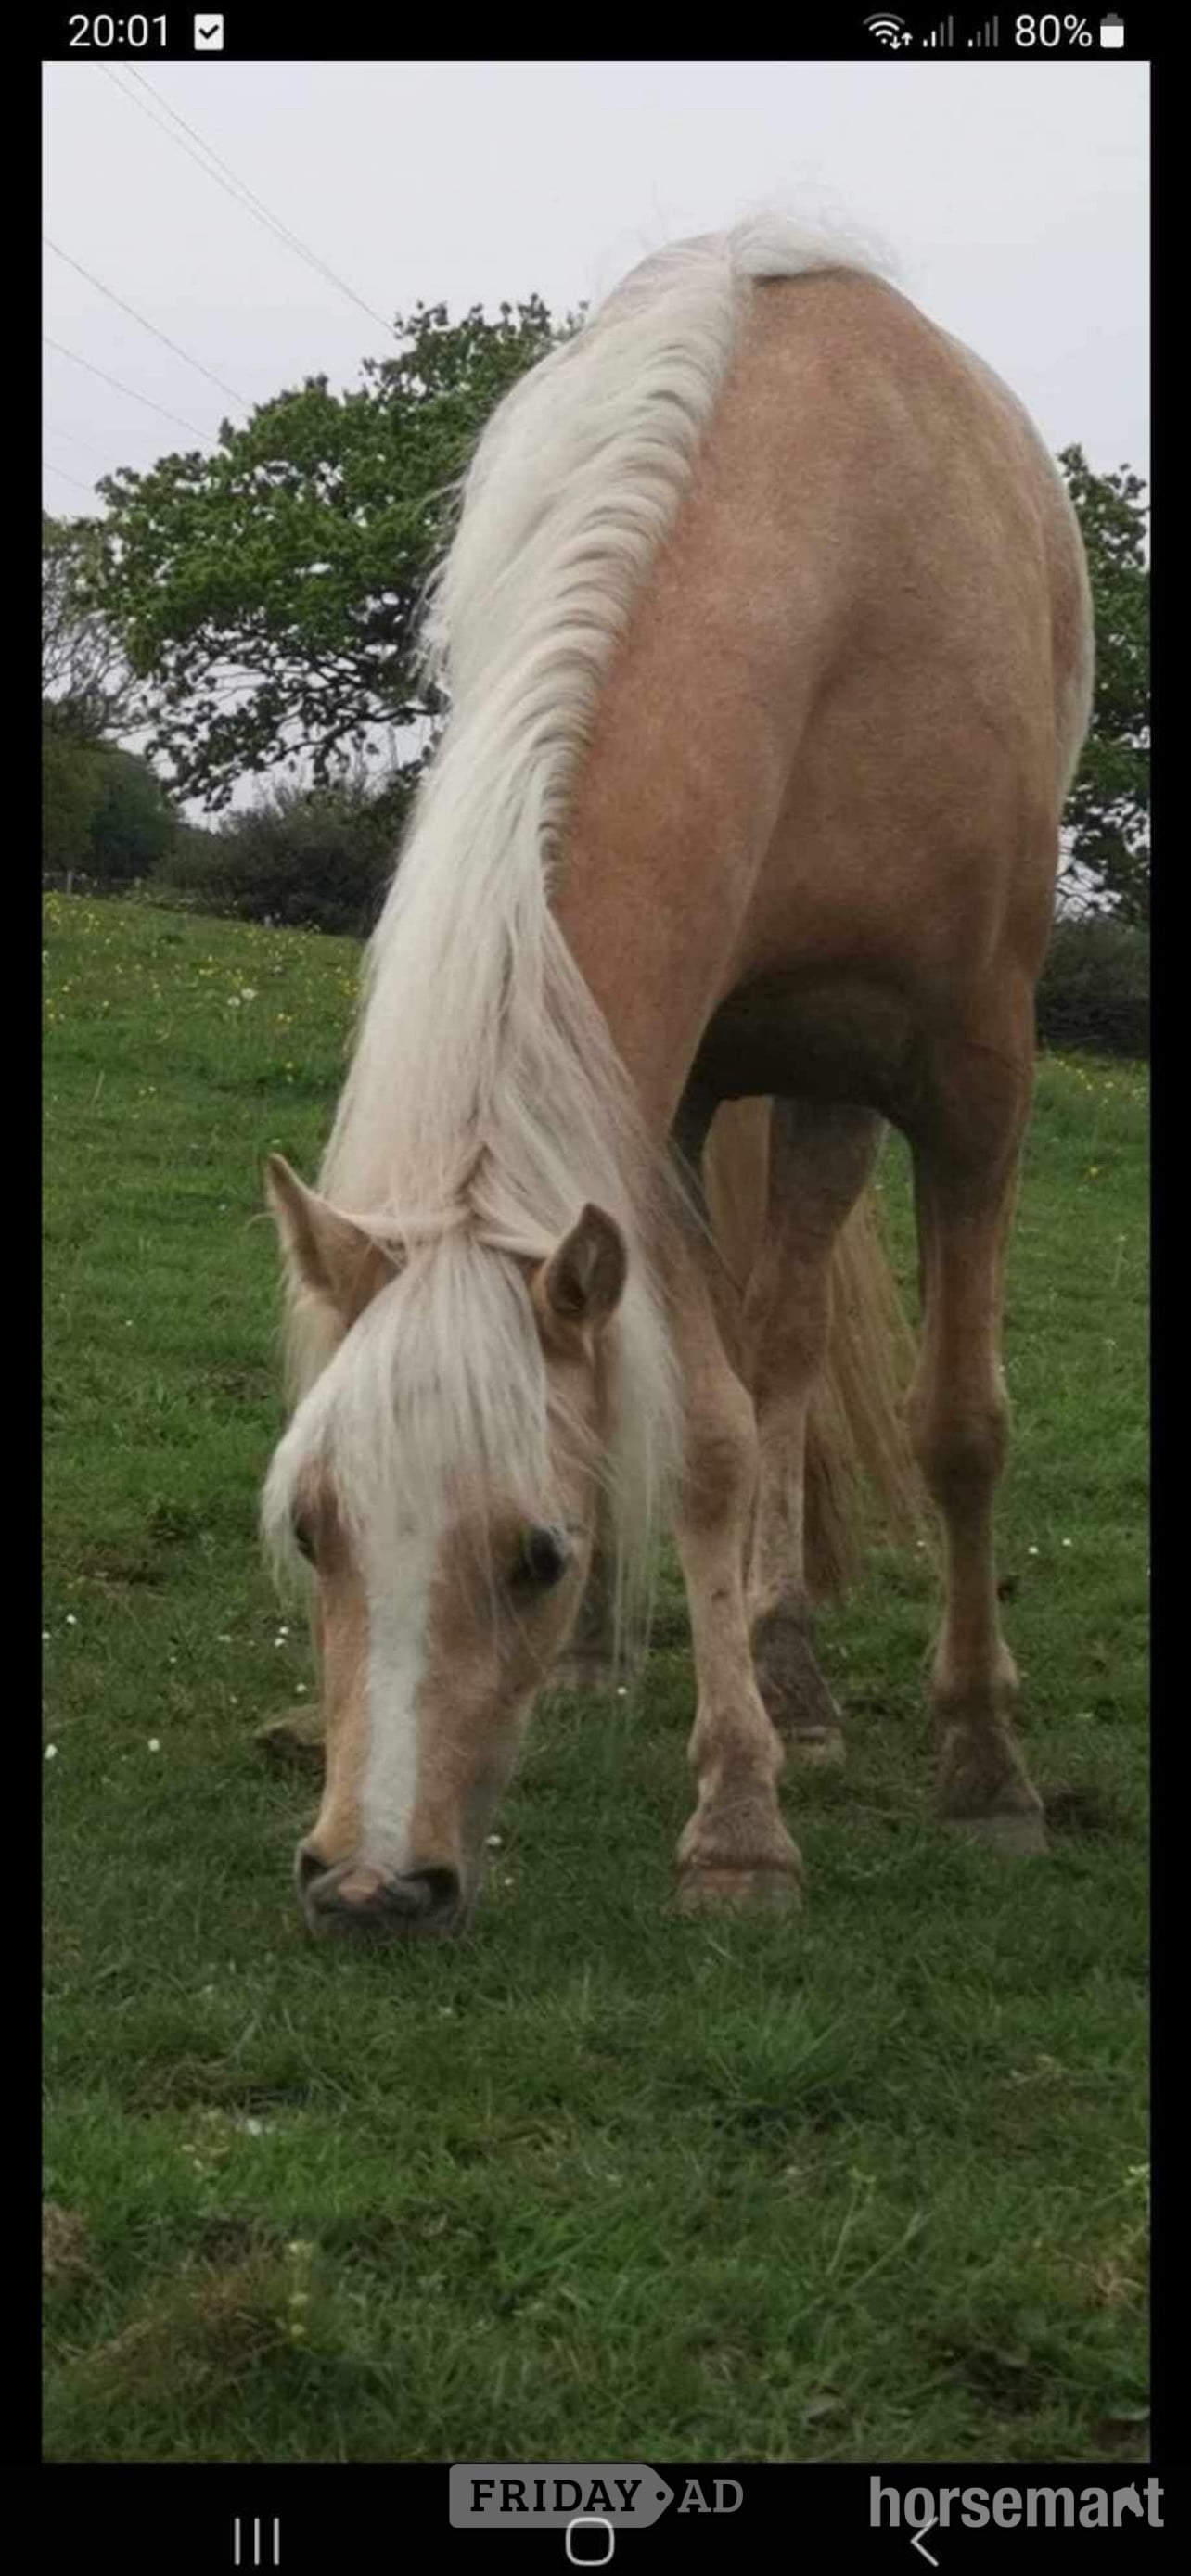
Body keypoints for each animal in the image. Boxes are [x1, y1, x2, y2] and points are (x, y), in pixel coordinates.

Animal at [262, 217, 1093, 1937]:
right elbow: (705, 1439)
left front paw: (983, 1766)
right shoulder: (647, 1111)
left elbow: (958, 1422)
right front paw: (736, 1814)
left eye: (529, 1550)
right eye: (312, 1528)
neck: (839, 572)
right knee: (732, 1372)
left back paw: (802, 1673)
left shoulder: (974, 1077)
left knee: (794, 1353)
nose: (367, 1882)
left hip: (835, 1086)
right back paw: (673, 1669)